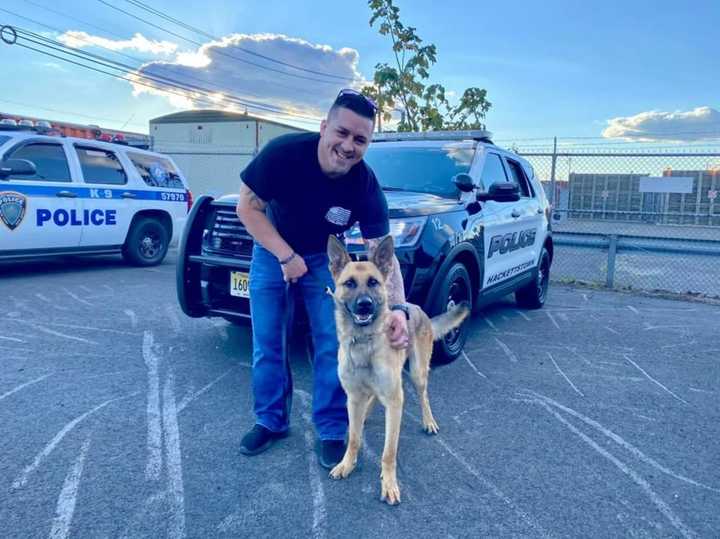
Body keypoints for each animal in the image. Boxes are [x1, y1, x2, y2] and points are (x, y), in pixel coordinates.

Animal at [328, 236, 472, 506]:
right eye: (349, 283)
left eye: (373, 282)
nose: (364, 305)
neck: (364, 344)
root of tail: (417, 307)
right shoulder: (353, 398)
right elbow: (354, 438)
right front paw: (347, 463)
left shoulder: (395, 403)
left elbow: (389, 451)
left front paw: (389, 484)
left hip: (417, 374)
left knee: (424, 396)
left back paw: (428, 421)